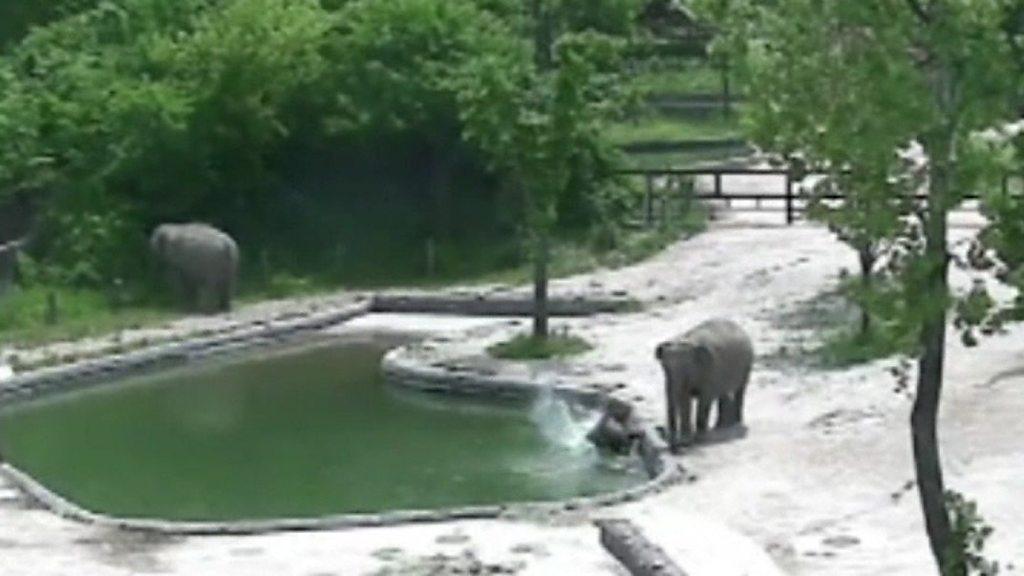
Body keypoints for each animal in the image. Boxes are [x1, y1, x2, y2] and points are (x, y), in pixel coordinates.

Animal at [655, 317, 753, 448]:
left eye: (688, 368)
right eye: (665, 368)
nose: (672, 444)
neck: (686, 340)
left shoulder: (709, 369)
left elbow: (704, 398)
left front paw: (698, 439)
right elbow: (683, 398)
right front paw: (686, 440)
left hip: (747, 364)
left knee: (740, 390)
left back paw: (735, 423)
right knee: (723, 393)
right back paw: (720, 426)